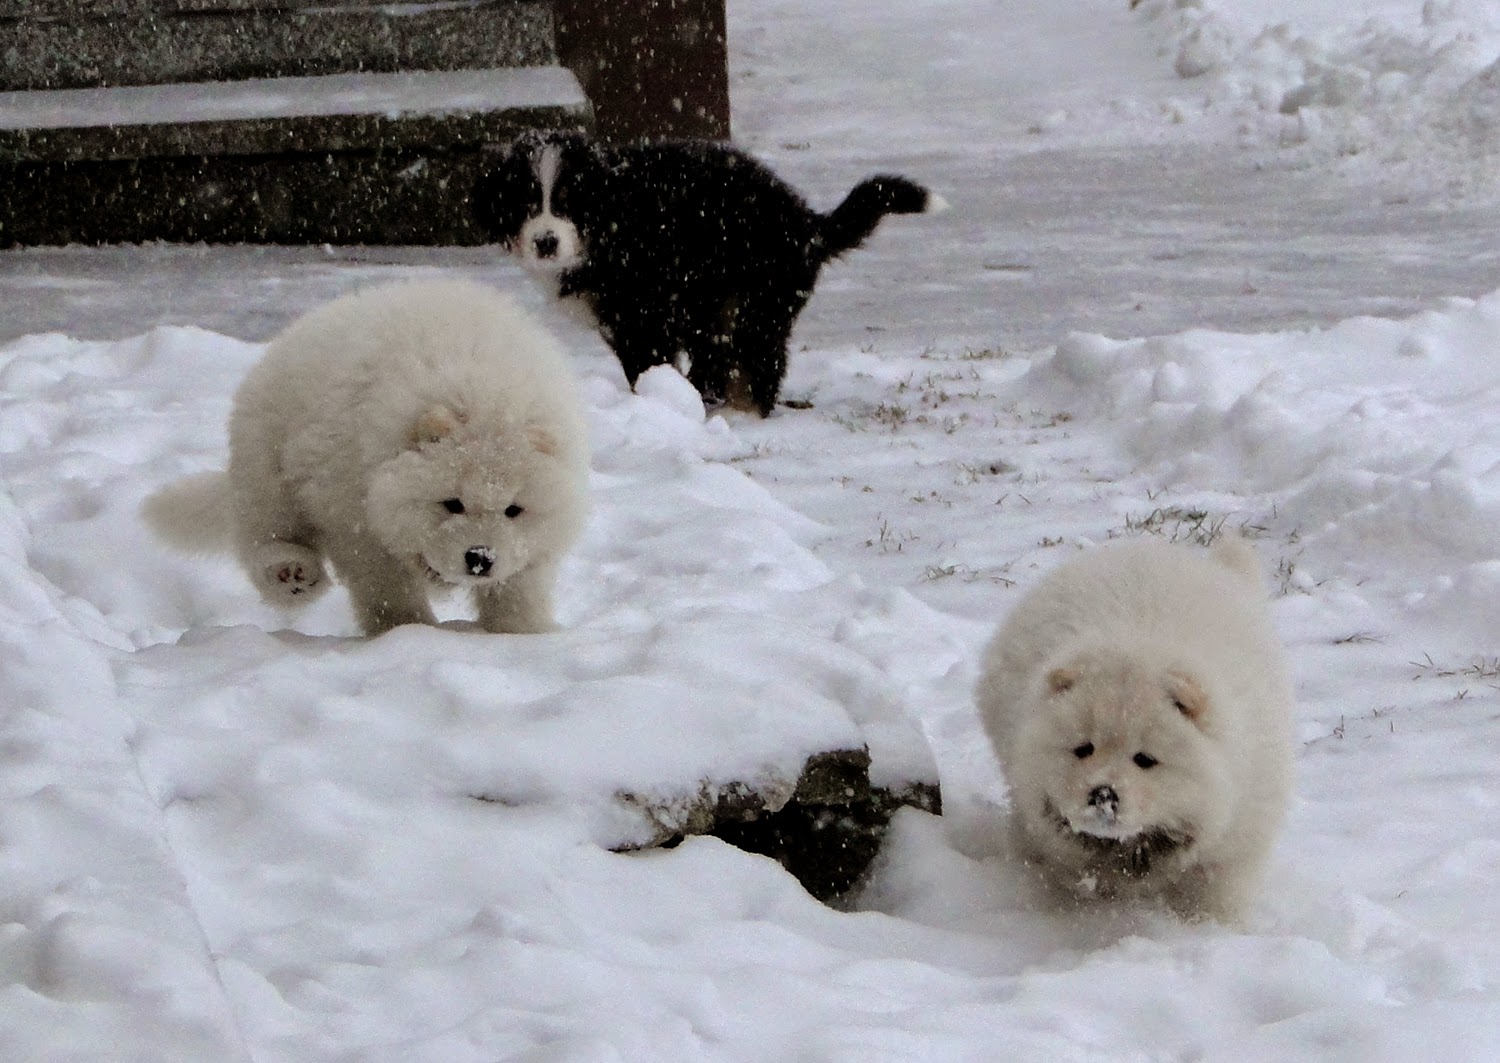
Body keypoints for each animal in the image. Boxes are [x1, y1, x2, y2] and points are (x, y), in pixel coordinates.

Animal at [141, 277, 585, 635]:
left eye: (514, 510)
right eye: (452, 503)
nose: (480, 557)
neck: (483, 395)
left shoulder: (536, 541)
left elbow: (520, 585)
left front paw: (521, 633)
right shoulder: (352, 513)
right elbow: (385, 582)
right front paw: (406, 630)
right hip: (267, 466)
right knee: (264, 536)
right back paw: (290, 572)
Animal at [474, 131, 942, 413]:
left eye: (572, 204)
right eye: (525, 203)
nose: (546, 242)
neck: (612, 227)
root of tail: (807, 223)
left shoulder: (642, 313)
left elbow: (647, 365)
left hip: (756, 305)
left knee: (759, 365)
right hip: (719, 309)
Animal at [978, 539, 1296, 917]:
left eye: (1145, 759)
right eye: (1083, 749)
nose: (1103, 794)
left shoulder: (1233, 846)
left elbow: (1213, 895)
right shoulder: (1039, 826)